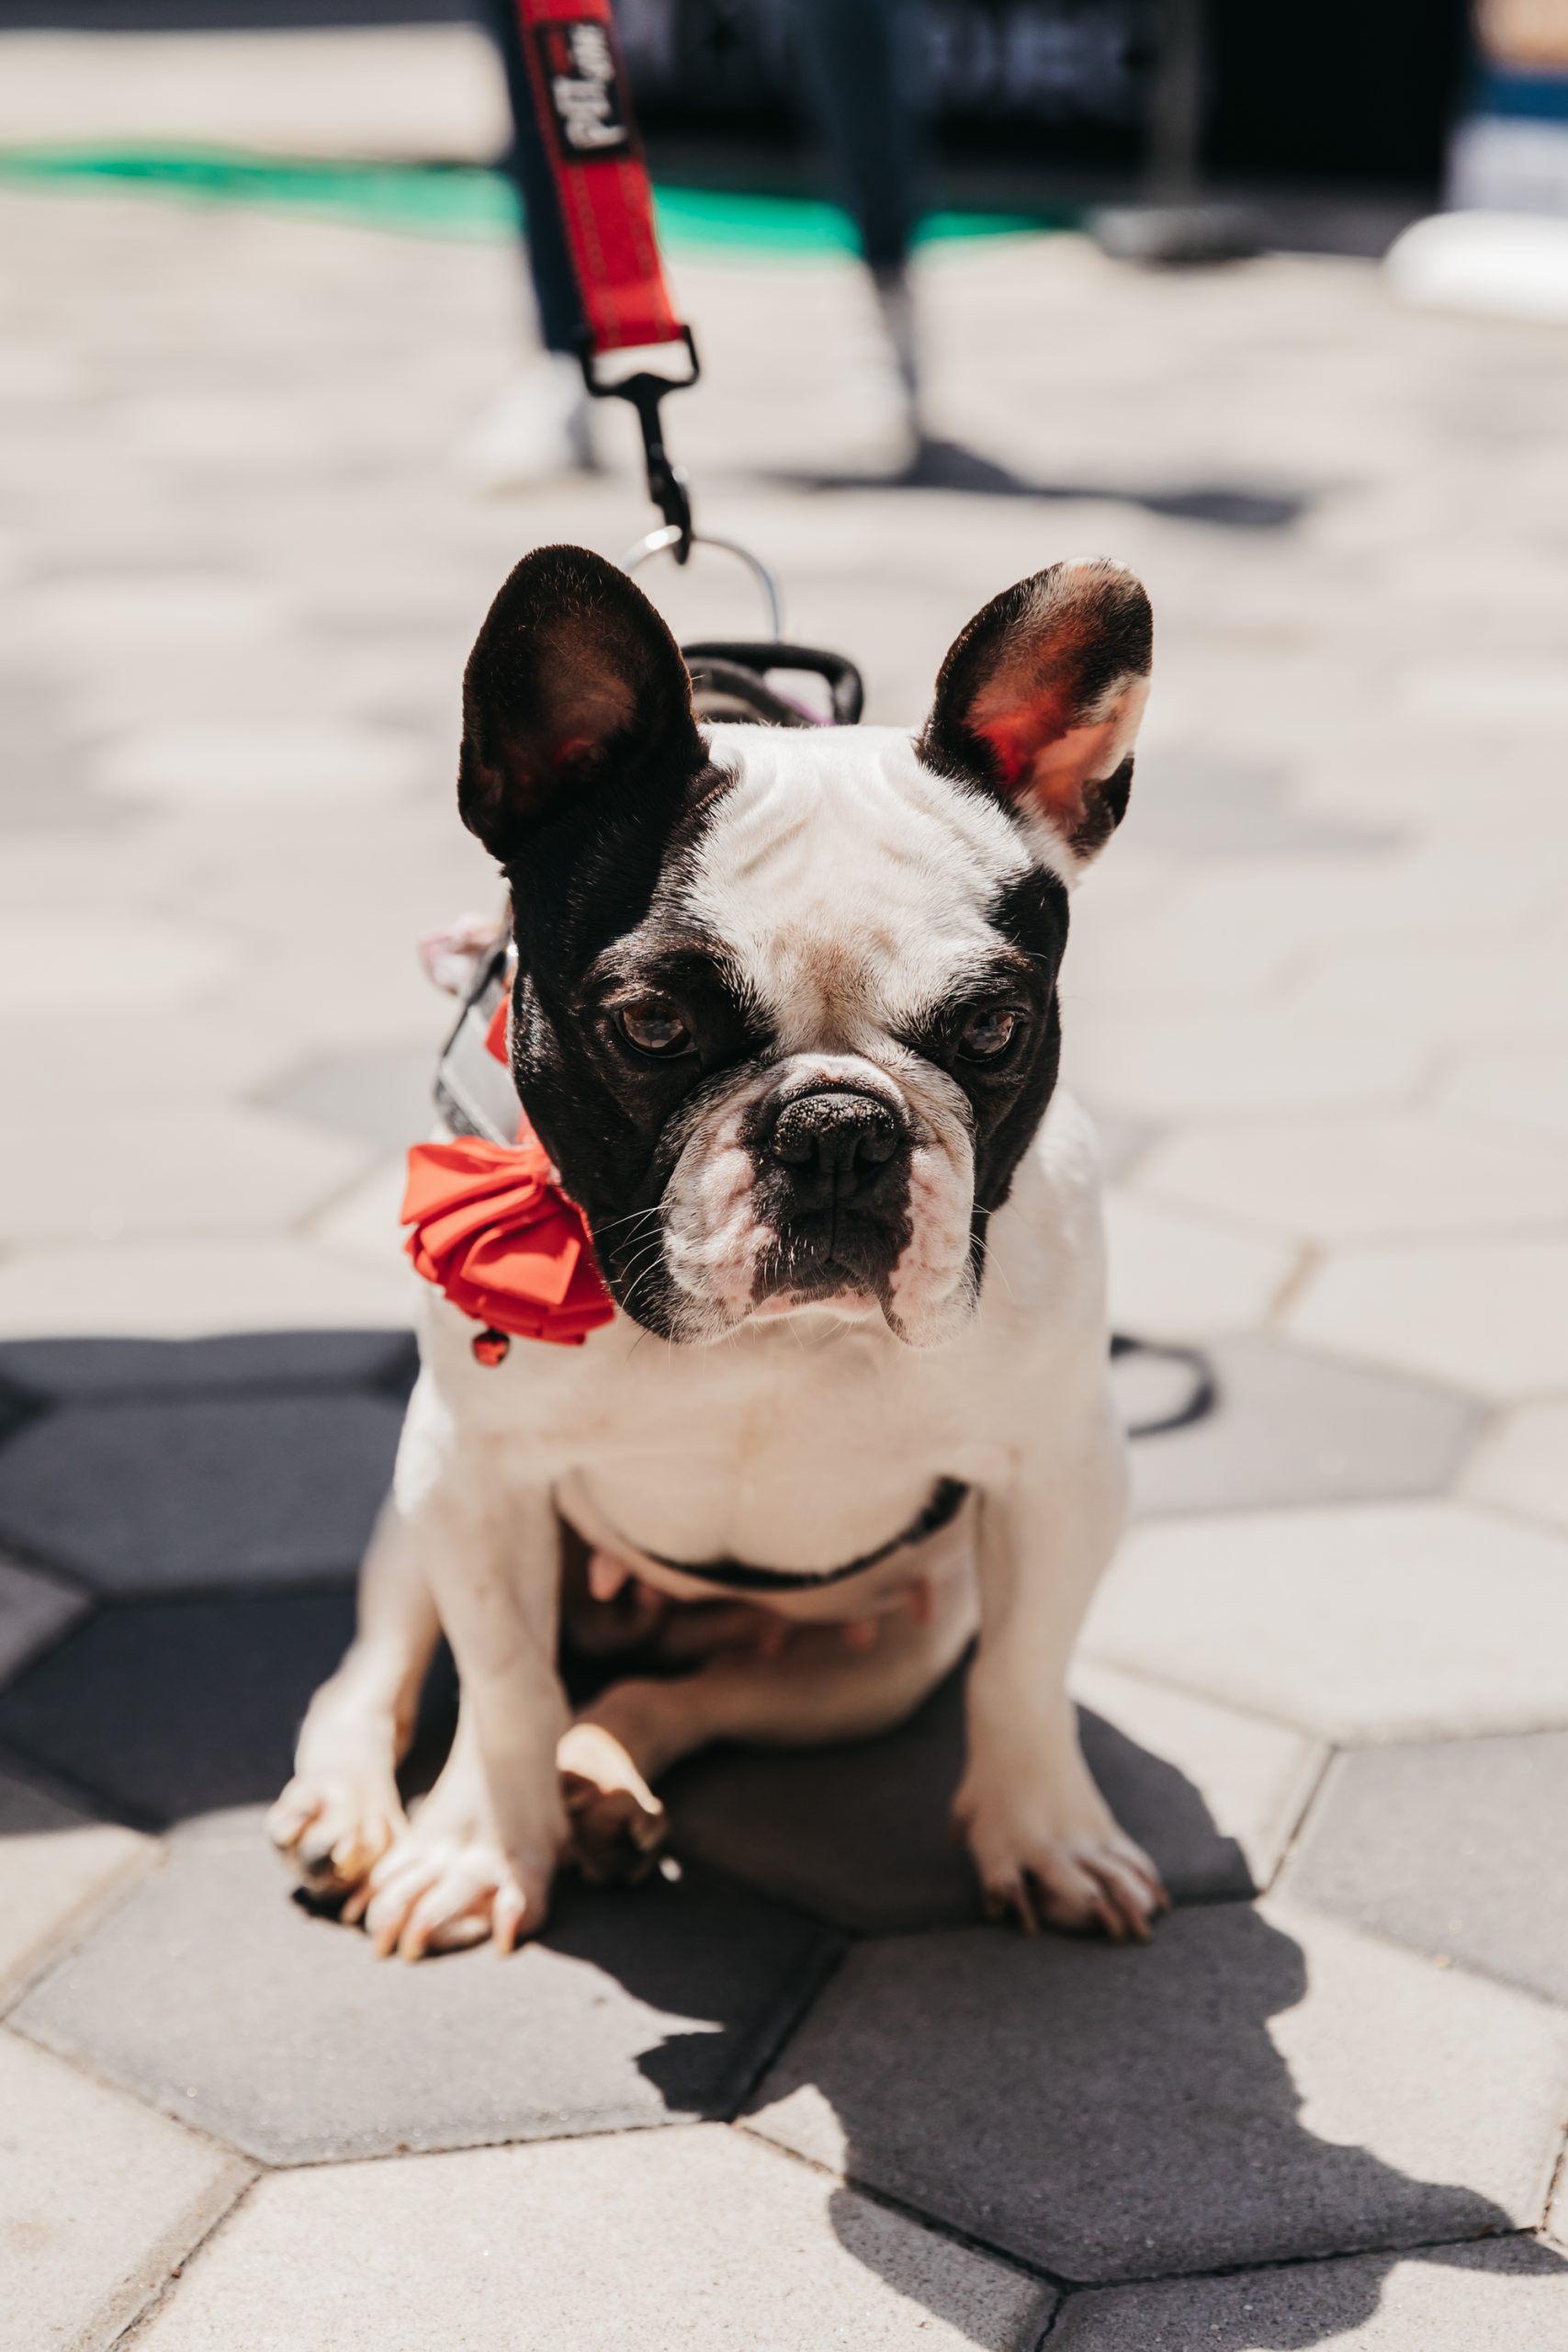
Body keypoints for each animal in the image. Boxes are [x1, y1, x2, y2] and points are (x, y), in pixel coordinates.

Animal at [276, 540, 1170, 1956]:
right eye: (651, 1026)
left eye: (991, 1028)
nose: (838, 1130)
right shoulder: (476, 1479)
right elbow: (505, 1681)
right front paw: (480, 1849)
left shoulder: (1060, 1475)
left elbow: (1025, 1678)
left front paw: (1048, 1837)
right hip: (415, 1510)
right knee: (381, 1663)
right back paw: (351, 1803)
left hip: (886, 1653)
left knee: (679, 1700)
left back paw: (604, 1782)